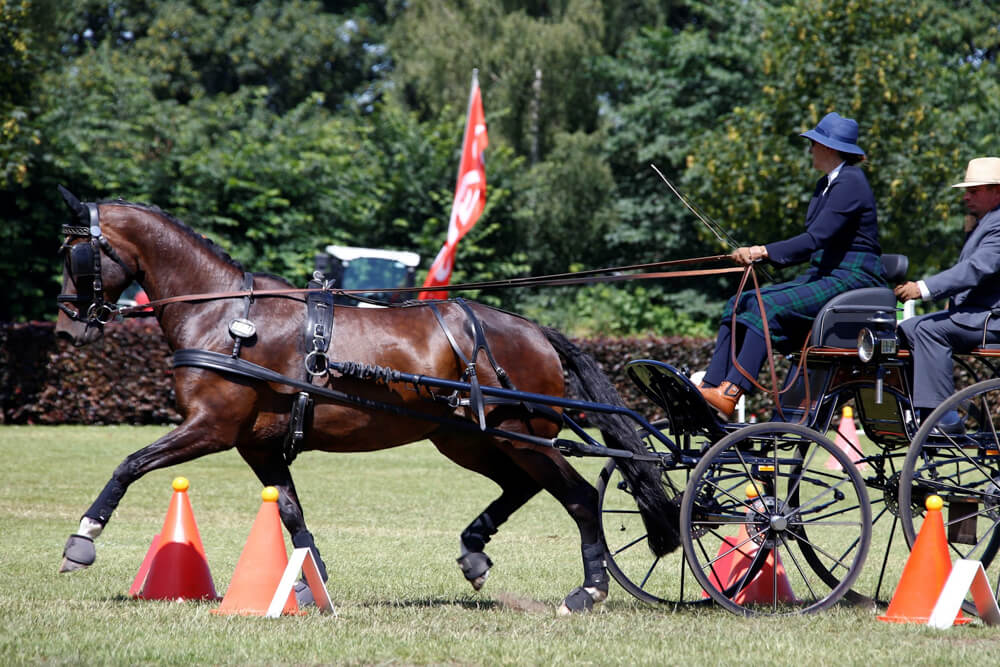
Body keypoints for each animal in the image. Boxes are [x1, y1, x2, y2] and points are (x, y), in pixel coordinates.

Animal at [53, 187, 680, 613]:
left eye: (74, 255)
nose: (64, 329)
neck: (224, 314)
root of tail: (533, 331)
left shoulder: (210, 428)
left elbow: (129, 463)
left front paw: (82, 540)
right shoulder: (258, 445)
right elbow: (290, 511)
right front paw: (311, 580)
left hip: (520, 434)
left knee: (578, 497)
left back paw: (589, 590)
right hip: (470, 438)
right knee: (520, 485)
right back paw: (475, 550)